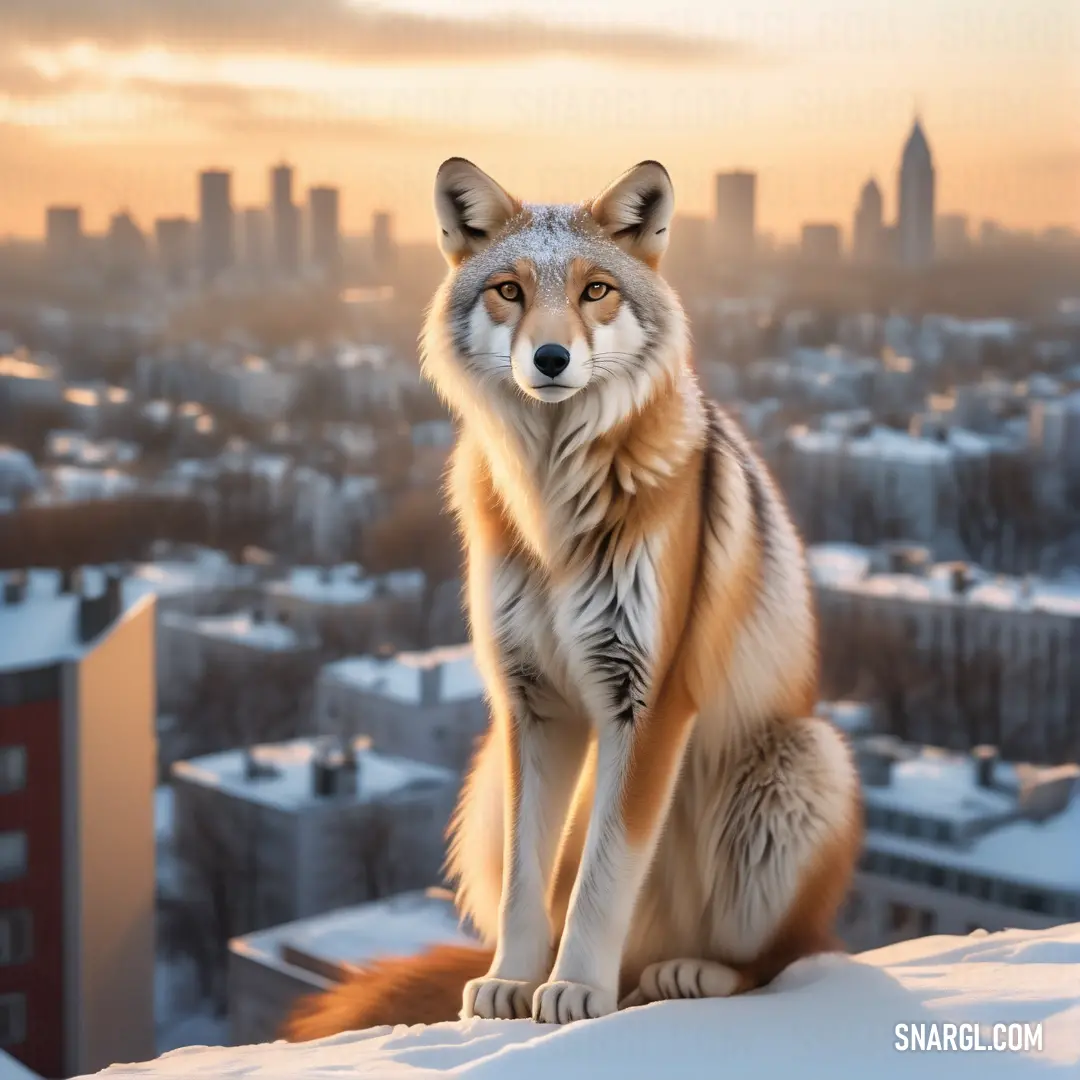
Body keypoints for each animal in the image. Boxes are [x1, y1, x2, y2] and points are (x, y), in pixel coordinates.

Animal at [282, 157, 864, 1036]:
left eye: (595, 291)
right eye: (509, 290)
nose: (552, 358)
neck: (555, 505)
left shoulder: (646, 701)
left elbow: (601, 874)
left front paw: (577, 991)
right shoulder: (533, 706)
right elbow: (534, 881)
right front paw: (511, 985)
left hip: (800, 763)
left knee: (782, 956)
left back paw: (684, 975)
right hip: (486, 783)